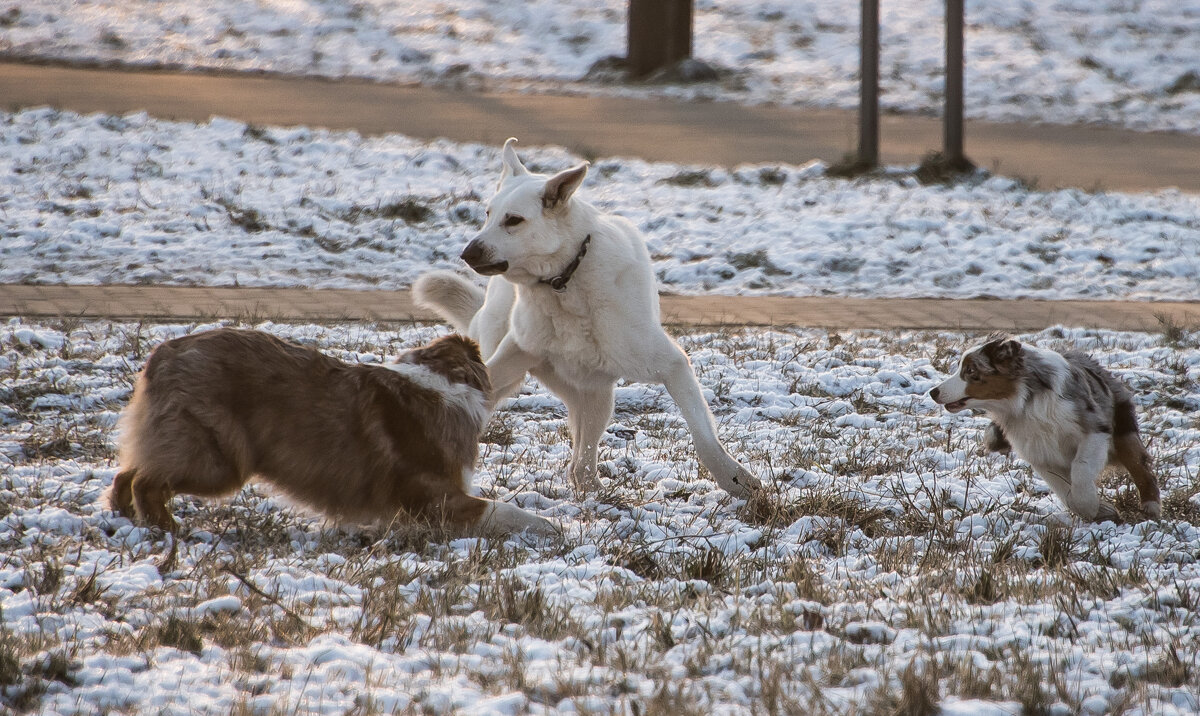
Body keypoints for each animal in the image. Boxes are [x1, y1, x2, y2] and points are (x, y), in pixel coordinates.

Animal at [108, 326, 552, 532]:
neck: (443, 378)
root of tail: (164, 353)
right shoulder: (435, 498)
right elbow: (504, 509)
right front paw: (552, 526)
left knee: (127, 471)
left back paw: (124, 517)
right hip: (219, 461)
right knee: (146, 480)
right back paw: (164, 527)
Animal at [417, 137, 763, 496]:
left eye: (513, 220)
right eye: (488, 214)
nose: (467, 253)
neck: (565, 280)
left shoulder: (671, 364)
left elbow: (703, 435)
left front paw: (735, 479)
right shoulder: (516, 352)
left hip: (598, 395)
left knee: (581, 459)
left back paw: (592, 488)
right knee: (575, 456)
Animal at [926, 333, 1161, 522]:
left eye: (970, 370)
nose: (933, 392)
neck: (1023, 401)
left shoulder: (1094, 429)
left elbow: (1081, 468)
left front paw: (1090, 505)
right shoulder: (1040, 453)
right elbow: (1064, 490)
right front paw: (1100, 509)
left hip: (1123, 430)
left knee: (1141, 468)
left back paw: (1152, 508)